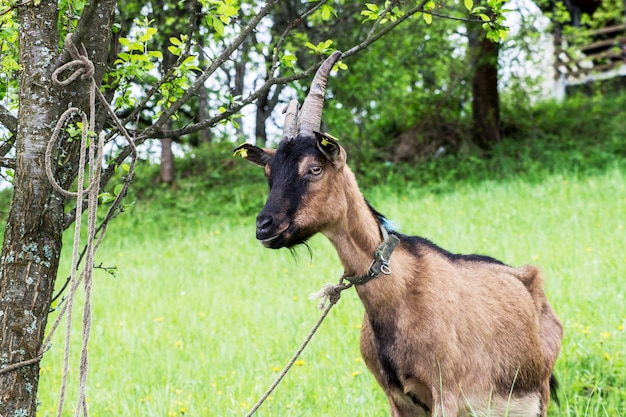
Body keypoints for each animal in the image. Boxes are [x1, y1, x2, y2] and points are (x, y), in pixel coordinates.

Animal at [233, 52, 560, 416]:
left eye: (314, 169)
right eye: (268, 174)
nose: (264, 225)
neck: (402, 289)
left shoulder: (446, 391)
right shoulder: (397, 397)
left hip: (537, 393)